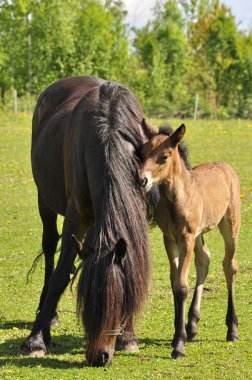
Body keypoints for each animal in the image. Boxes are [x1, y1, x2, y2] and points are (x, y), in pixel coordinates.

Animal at [20, 76, 155, 366]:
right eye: (87, 306)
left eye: (118, 304)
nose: (99, 356)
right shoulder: (76, 218)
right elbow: (60, 275)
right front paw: (36, 340)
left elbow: (134, 270)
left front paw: (128, 336)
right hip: (45, 201)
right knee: (50, 250)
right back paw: (47, 315)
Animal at [140, 124, 240, 360]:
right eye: (143, 151)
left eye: (164, 156)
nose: (142, 180)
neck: (177, 197)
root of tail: (226, 167)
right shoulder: (170, 238)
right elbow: (174, 281)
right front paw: (179, 335)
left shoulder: (186, 237)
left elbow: (181, 286)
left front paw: (179, 346)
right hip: (199, 234)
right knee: (204, 259)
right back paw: (192, 326)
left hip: (230, 225)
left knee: (229, 265)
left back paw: (232, 329)